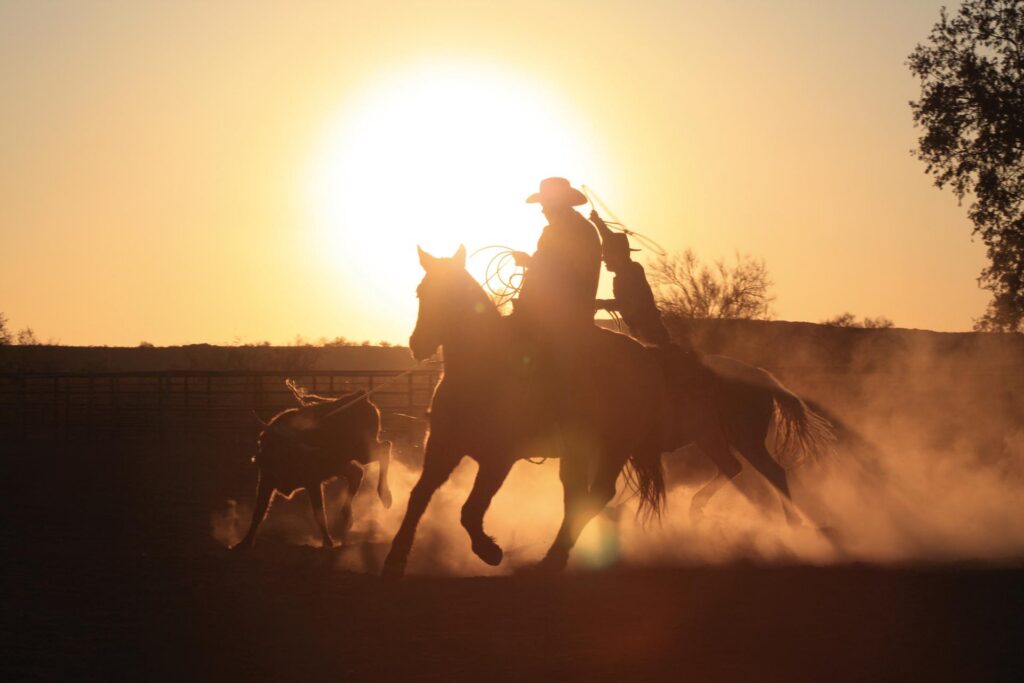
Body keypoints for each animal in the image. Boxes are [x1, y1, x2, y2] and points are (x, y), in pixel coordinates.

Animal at [233, 381, 392, 550]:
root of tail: (358, 397)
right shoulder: (266, 481)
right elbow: (259, 511)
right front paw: (244, 542)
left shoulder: (313, 482)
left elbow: (319, 514)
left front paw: (327, 542)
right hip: (342, 463)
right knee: (358, 472)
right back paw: (345, 519)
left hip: (362, 451)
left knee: (384, 449)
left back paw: (385, 496)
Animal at [382, 245, 670, 577]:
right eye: (421, 292)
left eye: (452, 295)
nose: (418, 344)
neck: (480, 369)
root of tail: (645, 355)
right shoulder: (443, 447)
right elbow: (419, 497)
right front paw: (395, 558)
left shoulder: (499, 457)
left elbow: (470, 509)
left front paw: (489, 550)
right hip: (579, 452)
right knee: (577, 495)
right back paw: (553, 560)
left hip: (616, 445)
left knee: (596, 494)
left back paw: (551, 561)